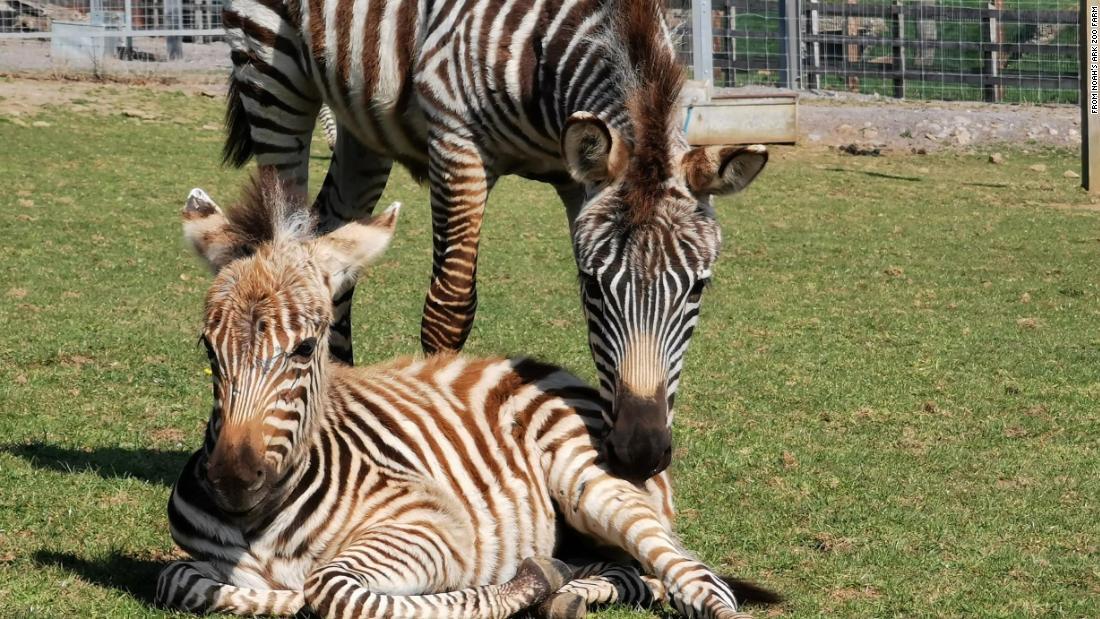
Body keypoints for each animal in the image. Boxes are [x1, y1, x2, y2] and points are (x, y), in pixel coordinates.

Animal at [160, 174, 774, 619]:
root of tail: (550, 371)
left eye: (306, 349)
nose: (232, 480)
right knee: (637, 575)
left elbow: (332, 588)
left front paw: (521, 584)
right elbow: (180, 580)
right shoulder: (199, 565)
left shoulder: (433, 527)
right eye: (209, 348)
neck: (261, 522)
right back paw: (571, 591)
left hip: (592, 485)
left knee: (695, 579)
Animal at [224, 0, 770, 479]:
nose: (639, 453)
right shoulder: (456, 145)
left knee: (333, 230)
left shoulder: (574, 178)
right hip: (271, 73)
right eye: (594, 285)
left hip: (362, 120)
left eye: (699, 288)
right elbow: (449, 310)